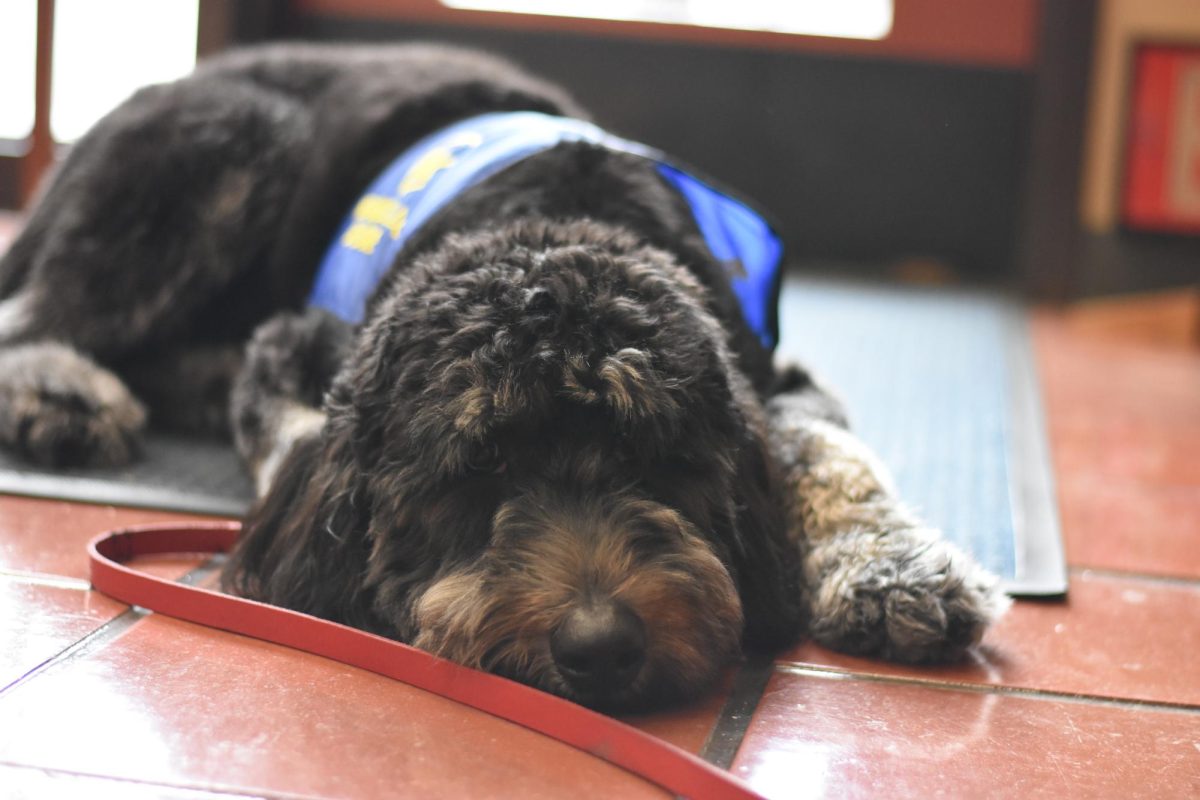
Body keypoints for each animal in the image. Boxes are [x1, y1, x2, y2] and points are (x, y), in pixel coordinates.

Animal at [0, 43, 1012, 714]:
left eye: (658, 459)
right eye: (480, 468)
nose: (600, 648)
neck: (559, 219)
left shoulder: (775, 373)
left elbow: (829, 451)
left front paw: (892, 569)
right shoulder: (295, 350)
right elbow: (298, 449)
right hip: (224, 152)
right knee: (36, 313)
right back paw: (56, 391)